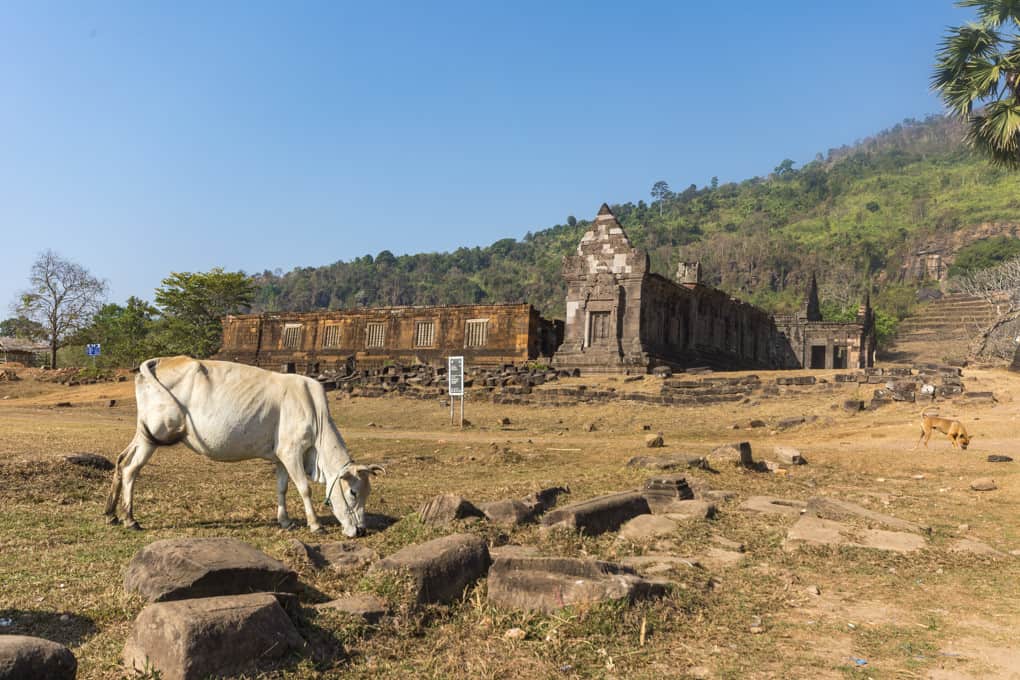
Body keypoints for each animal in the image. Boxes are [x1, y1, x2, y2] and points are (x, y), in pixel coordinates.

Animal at [104, 356, 383, 538]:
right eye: (353, 493)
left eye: (368, 493)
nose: (361, 531)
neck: (316, 415)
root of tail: (158, 362)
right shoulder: (292, 452)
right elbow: (304, 488)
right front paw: (315, 525)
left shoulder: (281, 457)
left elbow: (281, 488)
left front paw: (285, 521)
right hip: (154, 436)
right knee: (131, 470)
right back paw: (130, 519)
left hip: (144, 434)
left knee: (121, 461)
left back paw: (111, 514)